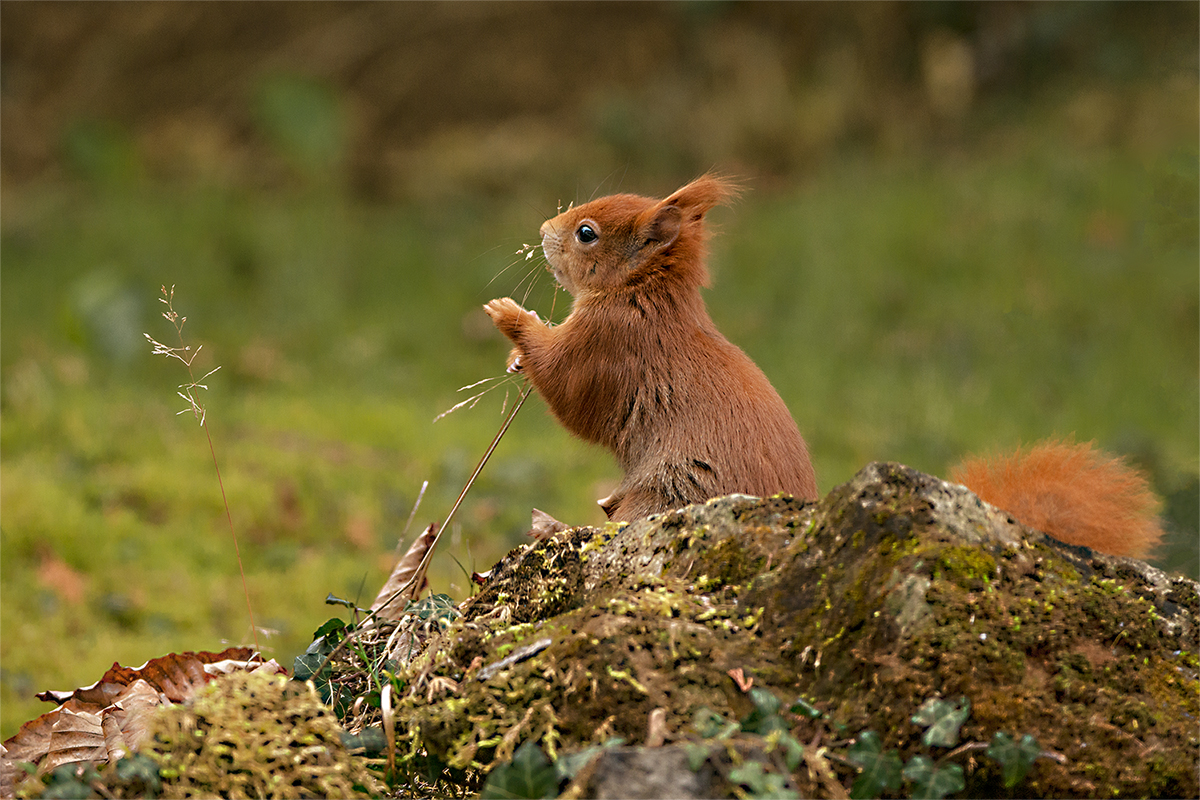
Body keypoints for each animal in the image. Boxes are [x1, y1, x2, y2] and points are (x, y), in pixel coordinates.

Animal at [484, 176, 1161, 563]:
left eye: (587, 233)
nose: (543, 229)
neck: (644, 293)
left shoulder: (610, 345)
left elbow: (570, 391)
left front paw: (512, 320)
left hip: (665, 497)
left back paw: (557, 527)